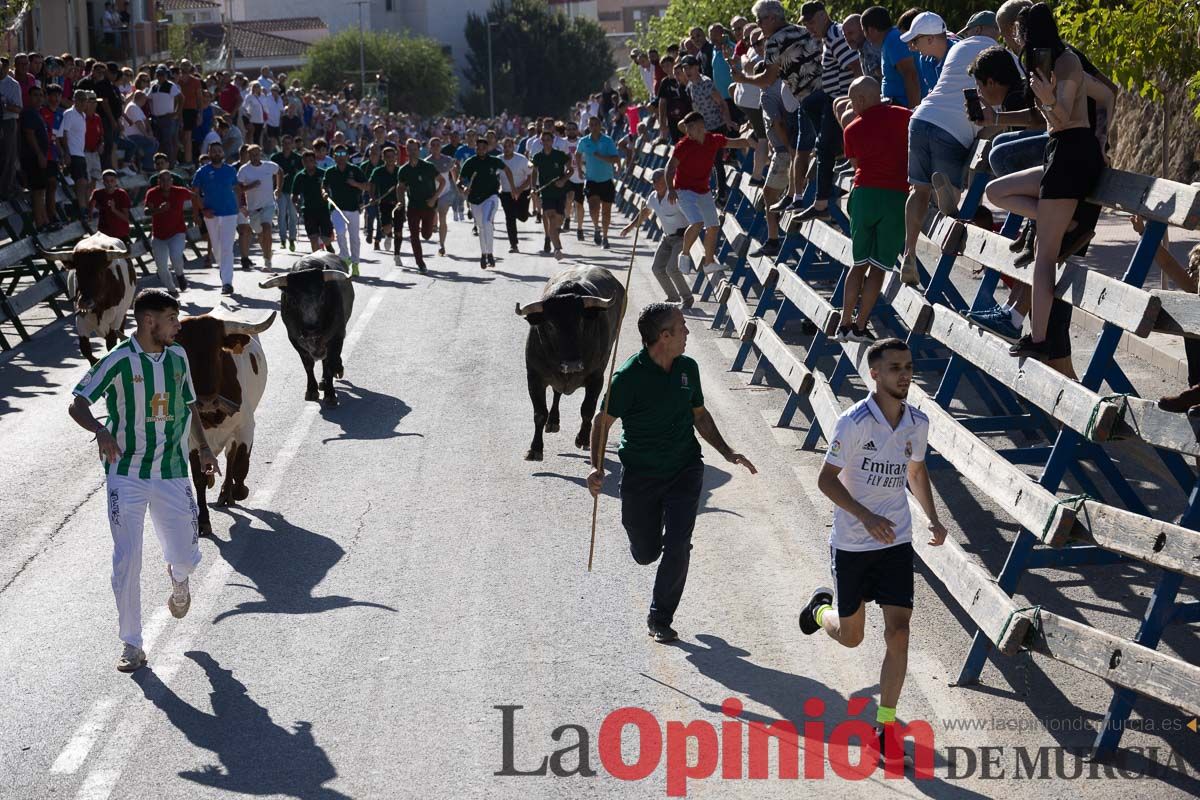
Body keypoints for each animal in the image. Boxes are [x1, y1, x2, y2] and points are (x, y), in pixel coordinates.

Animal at [37, 230, 137, 364]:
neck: (98, 308)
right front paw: (95, 361)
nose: (84, 302)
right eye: (77, 272)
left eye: (101, 272)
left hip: (122, 313)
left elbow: (111, 345)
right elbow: (85, 350)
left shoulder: (115, 319)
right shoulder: (80, 321)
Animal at [175, 307, 274, 537]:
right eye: (185, 354)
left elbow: (240, 464)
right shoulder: (191, 439)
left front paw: (239, 491)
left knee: (231, 456)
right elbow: (199, 479)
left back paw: (226, 493)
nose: (206, 401)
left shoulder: (246, 427)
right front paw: (203, 521)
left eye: (219, 353)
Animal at [260, 253, 352, 407]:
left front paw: (330, 394)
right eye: (292, 300)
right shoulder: (294, 339)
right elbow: (308, 365)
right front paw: (311, 390)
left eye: (322, 297)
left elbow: (329, 364)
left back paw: (335, 373)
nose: (311, 329)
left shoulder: (336, 335)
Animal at [518, 263, 628, 460]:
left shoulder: (596, 378)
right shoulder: (534, 377)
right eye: (550, 325)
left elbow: (587, 410)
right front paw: (535, 448)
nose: (572, 365)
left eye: (581, 321)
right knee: (556, 393)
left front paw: (583, 438)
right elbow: (539, 413)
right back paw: (553, 421)